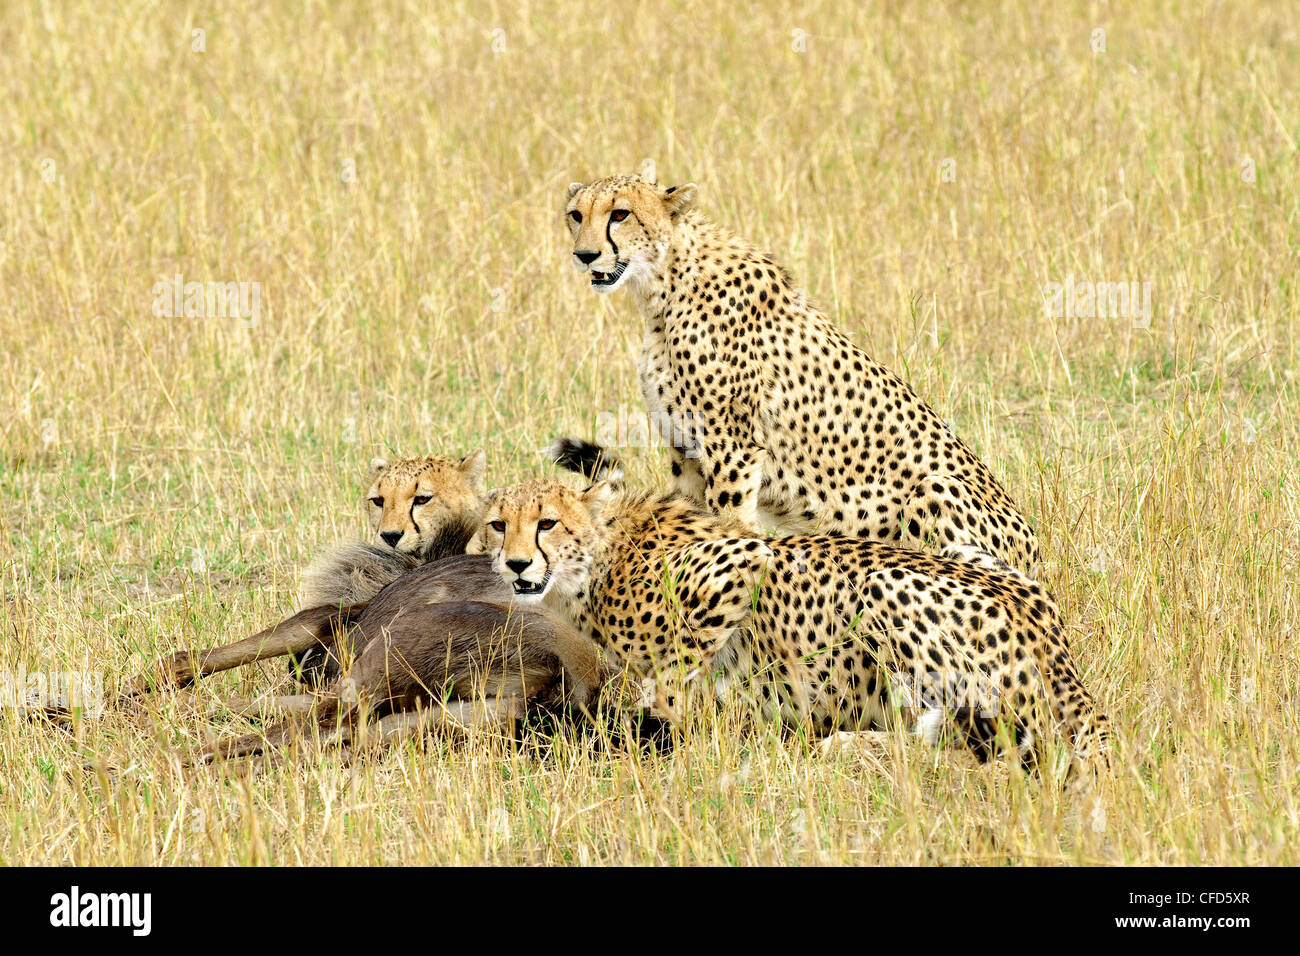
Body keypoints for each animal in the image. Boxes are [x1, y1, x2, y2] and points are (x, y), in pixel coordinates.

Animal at [478, 452, 1107, 764]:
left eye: (547, 523)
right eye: (497, 525)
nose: (516, 565)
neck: (600, 557)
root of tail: (1057, 646)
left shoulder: (742, 559)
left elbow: (669, 686)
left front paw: (684, 725)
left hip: (881, 585)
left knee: (968, 741)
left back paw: (843, 744)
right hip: (968, 552)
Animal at [564, 172, 1040, 572]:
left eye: (620, 214)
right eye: (576, 215)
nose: (585, 255)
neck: (662, 288)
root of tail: (1037, 549)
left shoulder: (731, 448)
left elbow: (729, 521)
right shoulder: (686, 447)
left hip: (934, 487)